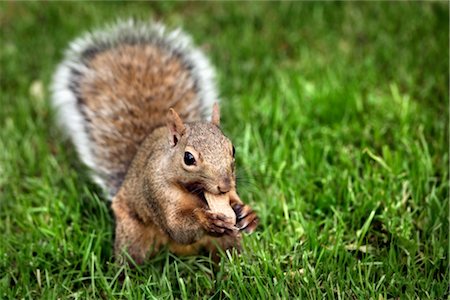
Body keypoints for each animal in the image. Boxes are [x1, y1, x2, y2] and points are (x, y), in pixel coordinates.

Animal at [51, 20, 258, 264]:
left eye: (232, 149)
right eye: (188, 158)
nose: (224, 185)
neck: (195, 194)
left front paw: (248, 215)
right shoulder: (156, 193)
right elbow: (178, 227)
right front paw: (206, 221)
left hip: (227, 240)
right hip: (133, 234)